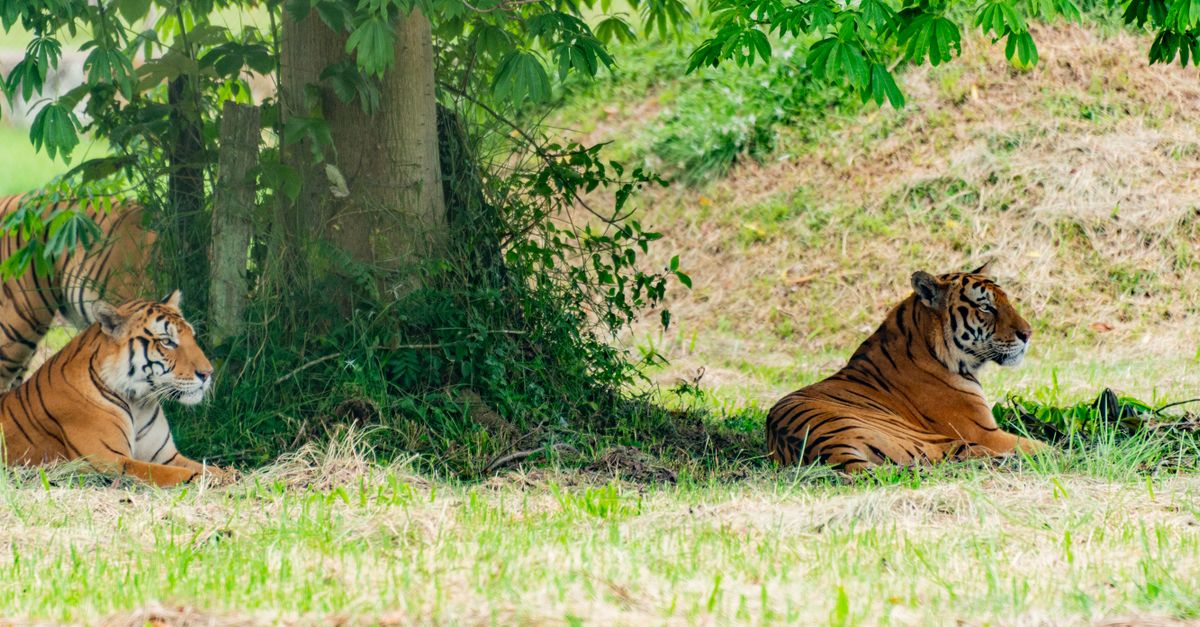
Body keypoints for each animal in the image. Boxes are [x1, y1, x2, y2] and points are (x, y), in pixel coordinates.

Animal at [0, 291, 230, 486]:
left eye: (192, 337)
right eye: (166, 341)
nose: (208, 373)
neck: (139, 403)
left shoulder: (166, 455)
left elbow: (206, 466)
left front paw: (227, 474)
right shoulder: (107, 459)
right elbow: (171, 473)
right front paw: (210, 480)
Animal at [766, 264, 1048, 472]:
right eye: (985, 307)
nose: (1028, 334)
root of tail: (831, 448)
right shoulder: (986, 433)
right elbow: (1040, 445)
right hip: (941, 441)